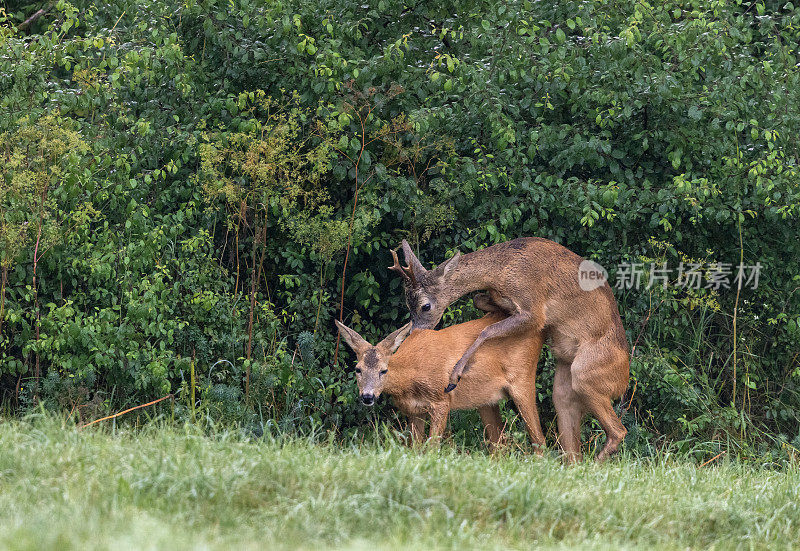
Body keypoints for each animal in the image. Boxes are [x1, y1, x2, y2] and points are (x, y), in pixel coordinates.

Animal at [334, 314, 548, 448]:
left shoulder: (441, 400)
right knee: (499, 444)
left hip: (523, 379)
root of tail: (540, 331)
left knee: (539, 440)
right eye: (358, 369)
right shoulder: (414, 410)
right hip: (487, 400)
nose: (367, 397)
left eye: (383, 370)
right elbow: (415, 448)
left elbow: (432, 447)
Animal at [390, 237, 628, 462]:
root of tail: (624, 382)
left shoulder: (533, 308)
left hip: (586, 373)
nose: (415, 334)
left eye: (425, 306)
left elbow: (486, 330)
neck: (502, 270)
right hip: (564, 381)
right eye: (407, 304)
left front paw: (456, 374)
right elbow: (477, 299)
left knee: (618, 431)